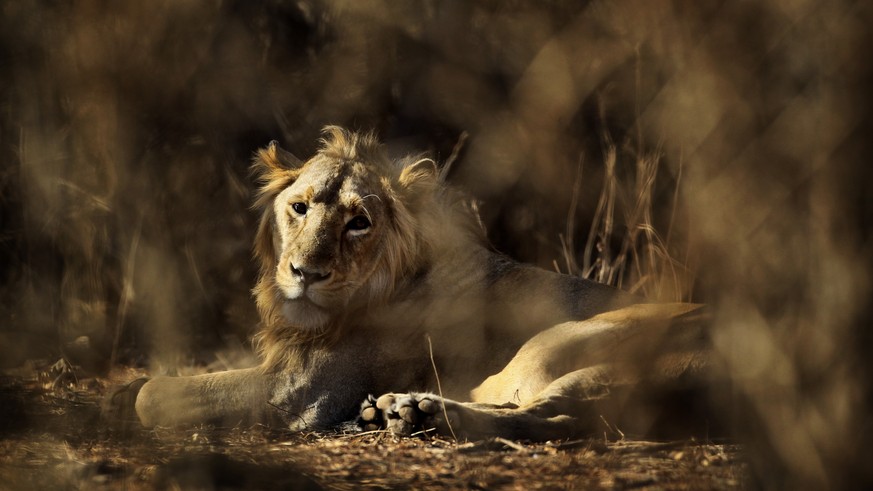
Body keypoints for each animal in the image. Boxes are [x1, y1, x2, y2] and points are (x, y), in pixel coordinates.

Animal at [109, 127, 708, 442]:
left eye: (359, 222)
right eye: (299, 208)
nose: (305, 274)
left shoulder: (301, 392)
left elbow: (157, 395)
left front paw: (124, 397)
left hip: (551, 349)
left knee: (541, 412)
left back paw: (415, 410)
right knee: (550, 415)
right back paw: (403, 412)